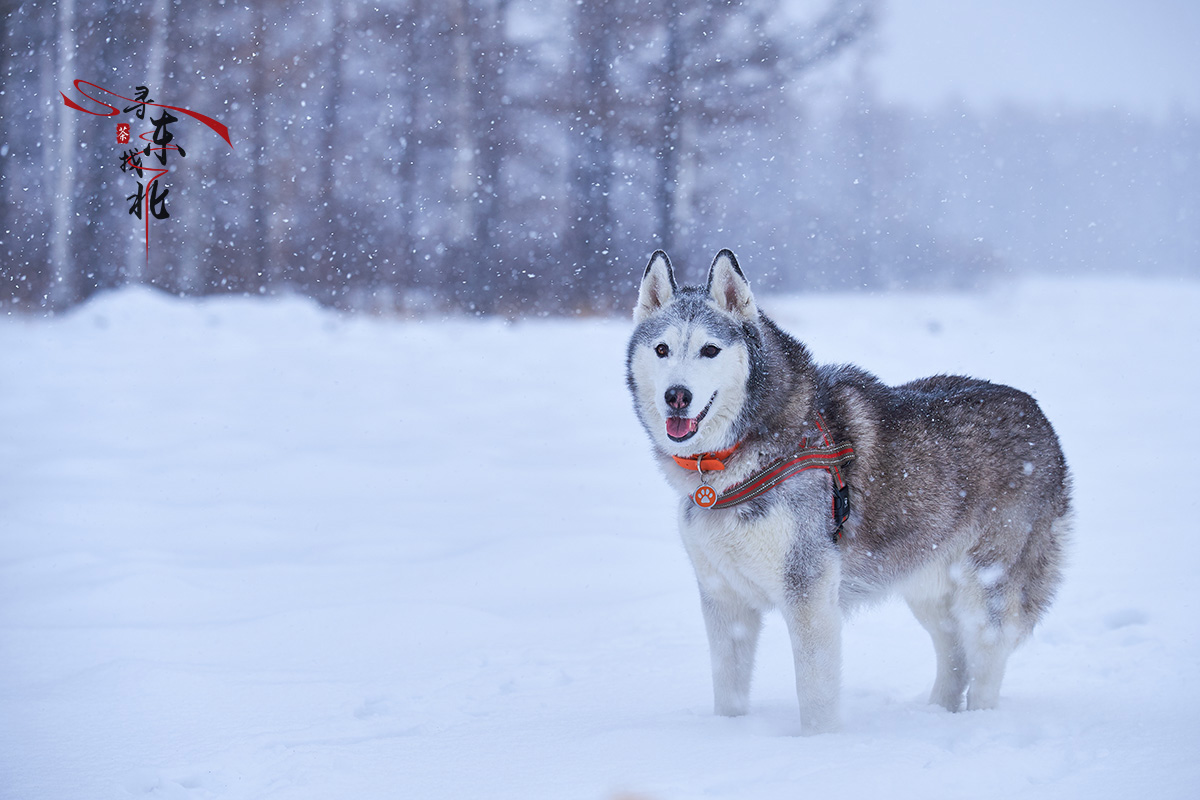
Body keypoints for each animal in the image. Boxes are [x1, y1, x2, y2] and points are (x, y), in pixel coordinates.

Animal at [628, 248, 1070, 734]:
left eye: (710, 349)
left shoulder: (809, 592)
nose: (677, 396)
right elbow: (728, 691)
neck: (732, 466)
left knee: (986, 659)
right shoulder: (723, 598)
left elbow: (815, 695)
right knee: (952, 651)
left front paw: (820, 744)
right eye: (662, 349)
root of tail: (1037, 413)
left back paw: (978, 724)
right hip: (927, 582)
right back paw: (936, 714)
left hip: (986, 586)